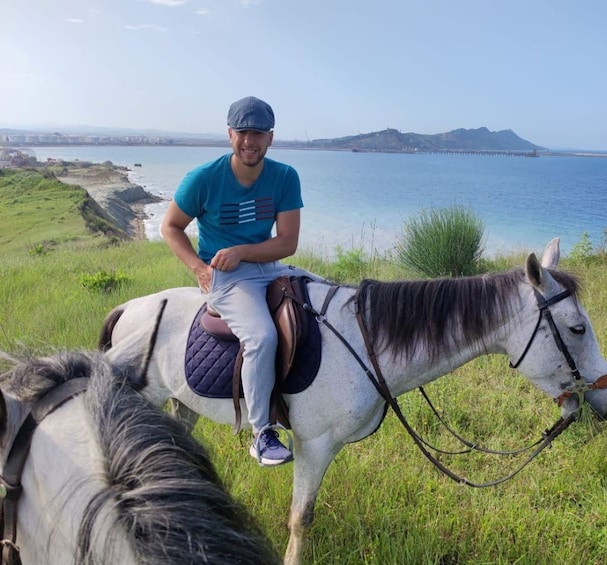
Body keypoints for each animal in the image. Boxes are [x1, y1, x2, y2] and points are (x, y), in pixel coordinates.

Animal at [100, 239, 607, 564]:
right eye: (577, 328)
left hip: (180, 405)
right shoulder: (313, 445)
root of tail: (128, 309)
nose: (602, 392)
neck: (366, 343)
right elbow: (300, 519)